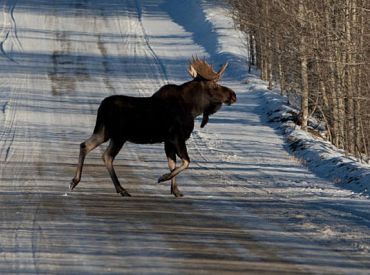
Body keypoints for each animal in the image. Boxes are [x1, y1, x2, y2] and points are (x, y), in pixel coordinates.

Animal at [70, 57, 237, 197]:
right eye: (215, 84)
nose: (233, 95)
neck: (194, 108)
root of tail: (102, 108)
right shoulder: (176, 137)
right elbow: (185, 162)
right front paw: (163, 178)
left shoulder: (168, 141)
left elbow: (172, 163)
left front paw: (175, 190)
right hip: (118, 136)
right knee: (107, 156)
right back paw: (121, 189)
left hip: (103, 132)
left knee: (85, 145)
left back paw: (75, 181)